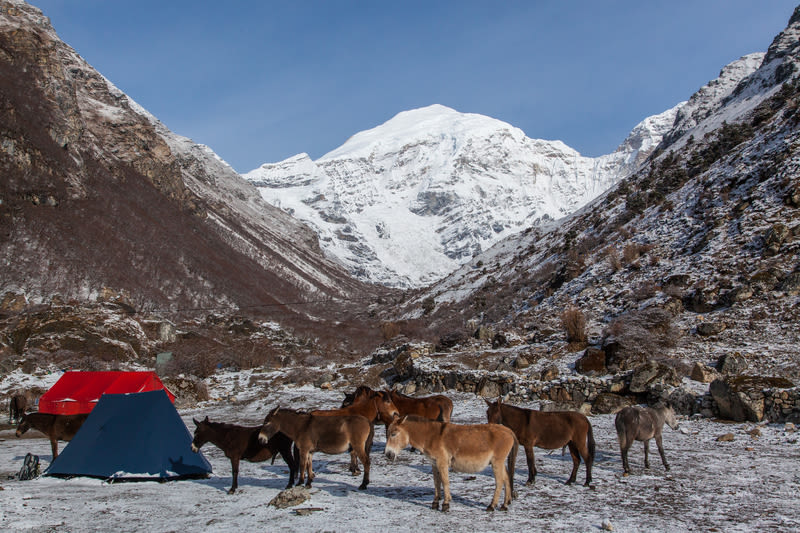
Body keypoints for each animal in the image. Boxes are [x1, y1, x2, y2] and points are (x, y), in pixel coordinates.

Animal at [388, 414, 520, 510]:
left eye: (393, 434)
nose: (388, 455)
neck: (430, 436)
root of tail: (509, 431)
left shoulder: (442, 462)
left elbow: (445, 482)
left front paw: (445, 504)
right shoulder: (434, 463)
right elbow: (436, 482)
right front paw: (435, 503)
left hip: (497, 462)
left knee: (499, 482)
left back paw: (492, 506)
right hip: (499, 462)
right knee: (507, 478)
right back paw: (504, 505)